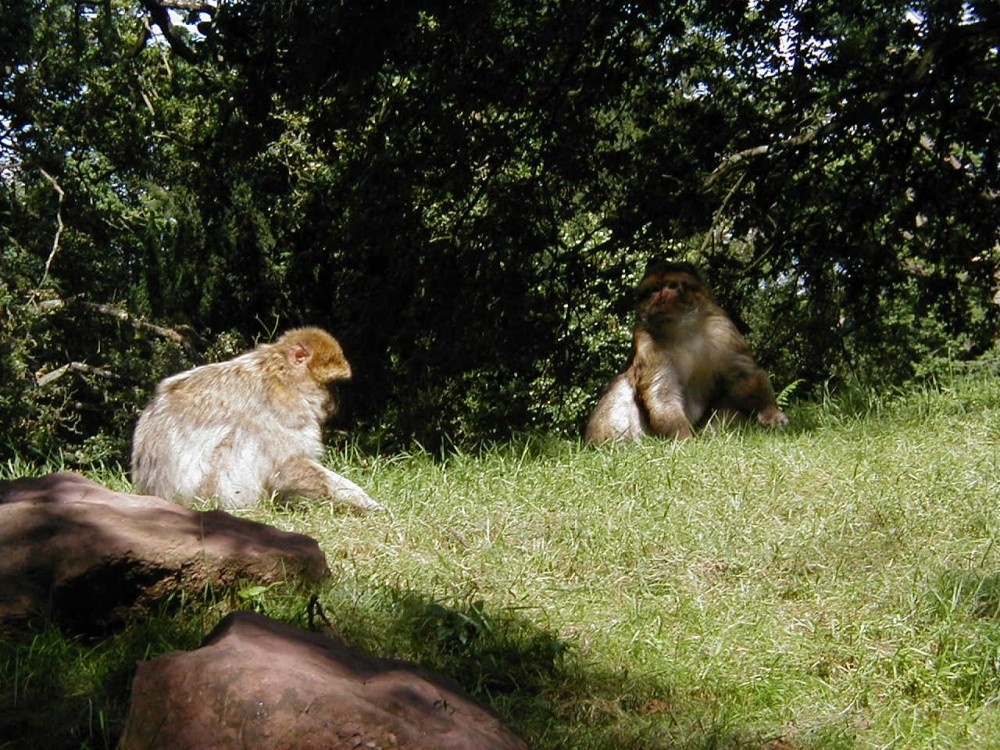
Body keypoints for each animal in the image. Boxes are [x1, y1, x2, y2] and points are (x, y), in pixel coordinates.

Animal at [131, 327, 383, 512]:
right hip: (206, 495)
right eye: (331, 385)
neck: (281, 373)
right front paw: (360, 499)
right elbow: (287, 467)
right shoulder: (284, 410)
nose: (336, 400)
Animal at [585, 260, 789, 443]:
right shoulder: (647, 343)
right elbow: (663, 392)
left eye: (672, 286)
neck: (682, 330)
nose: (661, 300)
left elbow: (744, 375)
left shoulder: (722, 329)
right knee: (622, 387)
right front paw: (684, 440)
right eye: (655, 289)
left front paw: (770, 412)